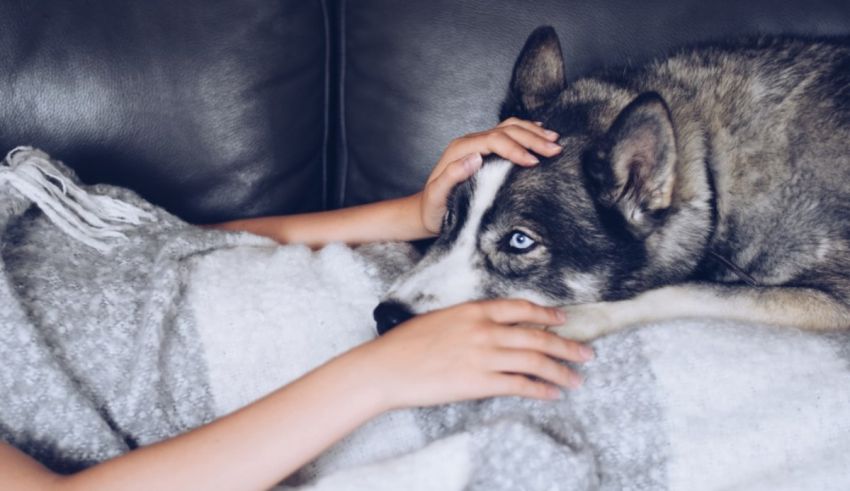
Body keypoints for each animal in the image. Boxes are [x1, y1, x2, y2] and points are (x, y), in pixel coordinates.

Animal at [374, 26, 848, 342]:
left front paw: (573, 319)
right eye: (449, 217)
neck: (712, 167)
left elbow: (687, 291)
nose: (385, 318)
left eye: (519, 242)